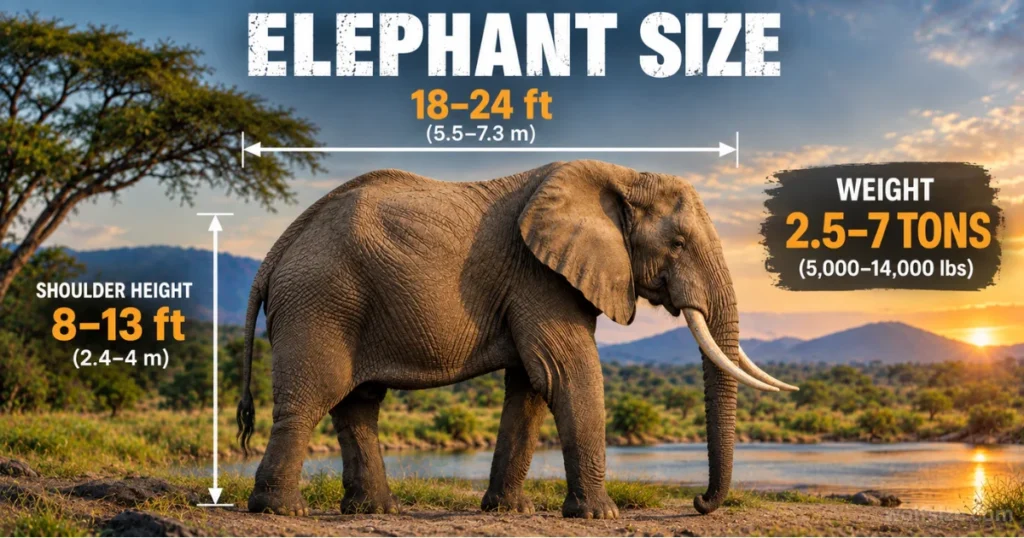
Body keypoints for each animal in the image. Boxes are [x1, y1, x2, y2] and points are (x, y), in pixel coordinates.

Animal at [235, 160, 798, 518]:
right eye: (678, 244)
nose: (699, 503)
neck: (621, 176)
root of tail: (278, 249)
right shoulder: (539, 277)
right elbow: (567, 372)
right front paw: (602, 516)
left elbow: (529, 387)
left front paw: (511, 510)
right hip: (319, 302)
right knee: (312, 398)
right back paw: (282, 512)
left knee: (358, 404)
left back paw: (374, 510)